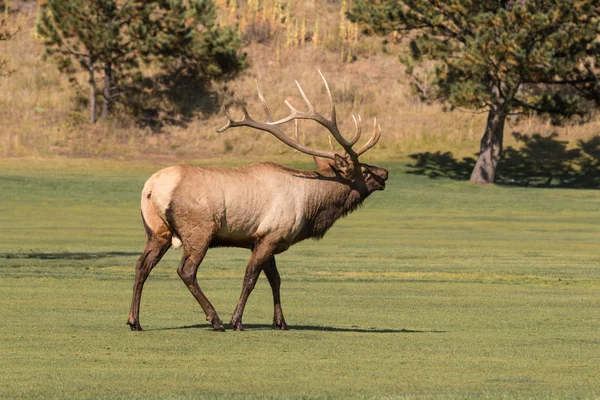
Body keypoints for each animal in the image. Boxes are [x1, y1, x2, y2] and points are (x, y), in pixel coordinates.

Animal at [127, 71, 390, 332]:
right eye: (365, 171)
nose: (385, 173)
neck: (311, 207)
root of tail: (151, 188)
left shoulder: (263, 239)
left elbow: (275, 279)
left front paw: (280, 321)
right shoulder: (271, 235)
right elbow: (250, 279)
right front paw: (237, 321)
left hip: (156, 230)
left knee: (141, 265)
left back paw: (134, 321)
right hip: (198, 230)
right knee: (186, 271)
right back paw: (215, 319)